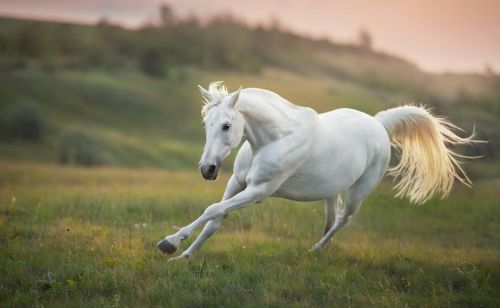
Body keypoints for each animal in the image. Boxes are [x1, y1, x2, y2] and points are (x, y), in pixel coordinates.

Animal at [158, 81, 474, 260]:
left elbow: (212, 210)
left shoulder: (259, 192)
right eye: (205, 124)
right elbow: (214, 219)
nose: (207, 169)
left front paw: (169, 243)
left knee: (342, 221)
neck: (275, 138)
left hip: (359, 192)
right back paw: (321, 250)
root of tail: (379, 124)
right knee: (331, 219)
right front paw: (184, 256)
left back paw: (314, 250)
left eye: (226, 125)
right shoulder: (237, 183)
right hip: (331, 191)